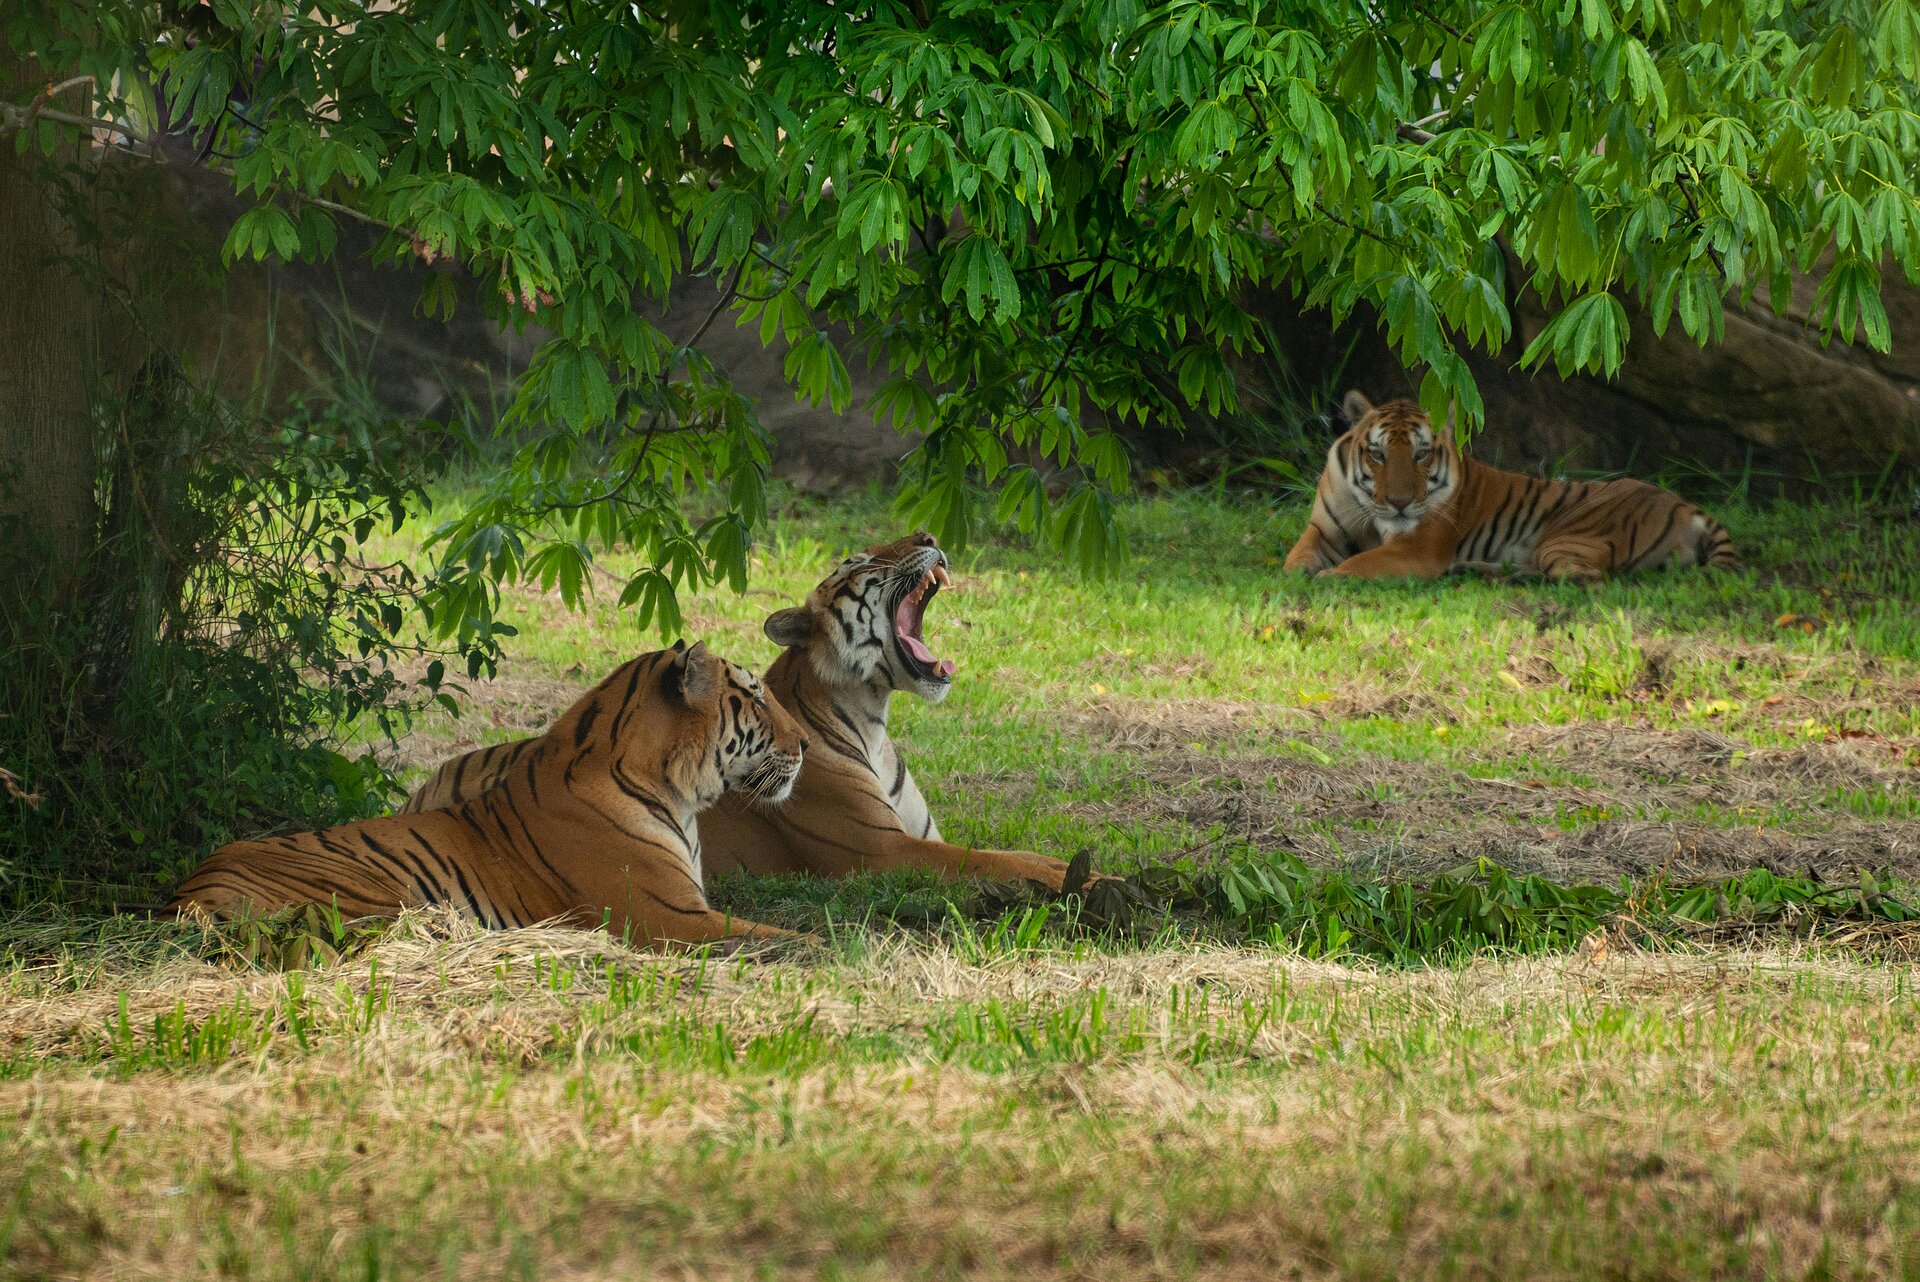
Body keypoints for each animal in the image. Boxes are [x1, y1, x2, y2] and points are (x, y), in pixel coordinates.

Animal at [172, 642, 812, 948]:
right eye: (756, 697)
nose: (806, 743)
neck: (678, 793)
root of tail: (186, 894)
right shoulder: (670, 917)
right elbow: (788, 938)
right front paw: (833, 951)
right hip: (379, 897)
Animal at [402, 532, 1098, 892]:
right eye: (860, 562)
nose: (929, 536)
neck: (874, 719)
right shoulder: (881, 852)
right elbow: (992, 860)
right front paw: (1070, 875)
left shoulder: (919, 837)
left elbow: (997, 850)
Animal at [1283, 391, 1737, 581]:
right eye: (1377, 455)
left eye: (1421, 454)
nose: (1399, 503)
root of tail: (1687, 507)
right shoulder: (1323, 530)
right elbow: (1296, 558)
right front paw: (1301, 574)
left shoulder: (1417, 548)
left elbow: (1361, 563)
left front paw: (1331, 577)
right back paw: (1474, 569)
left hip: (1570, 537)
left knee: (1583, 579)